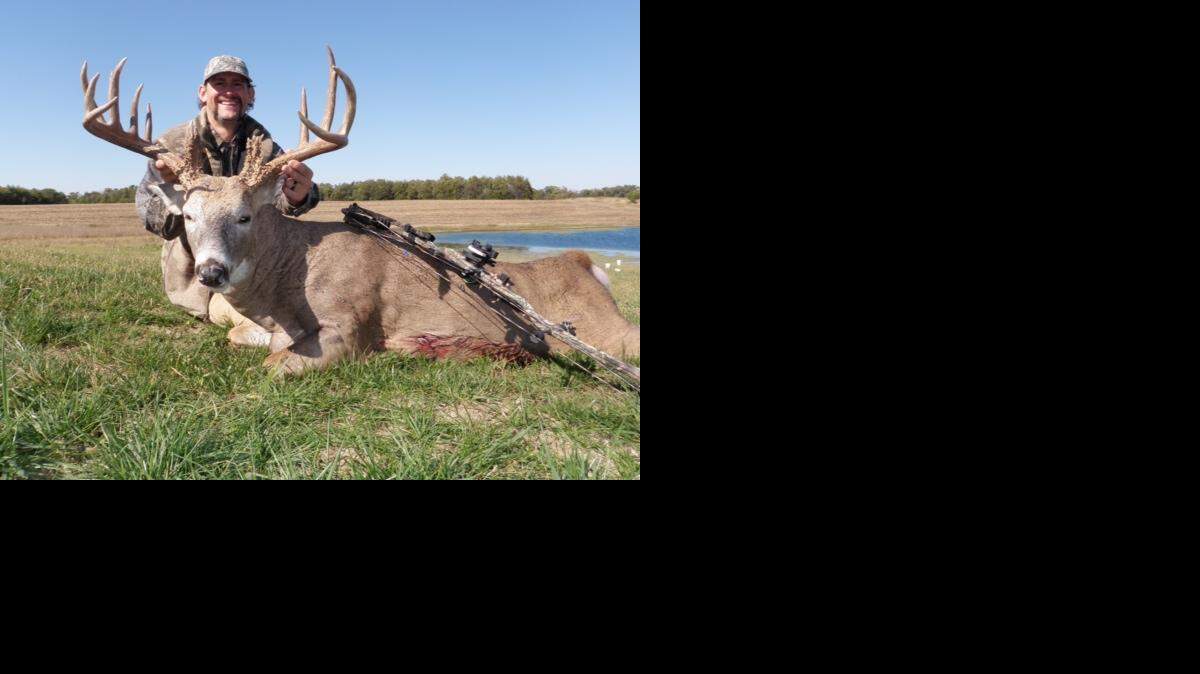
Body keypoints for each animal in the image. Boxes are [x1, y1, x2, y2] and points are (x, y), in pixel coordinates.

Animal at [80, 50, 640, 378]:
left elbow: (271, 365)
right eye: (190, 217)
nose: (212, 272)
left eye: (244, 216)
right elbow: (243, 339)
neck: (286, 283)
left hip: (601, 330)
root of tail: (587, 265)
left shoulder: (348, 325)